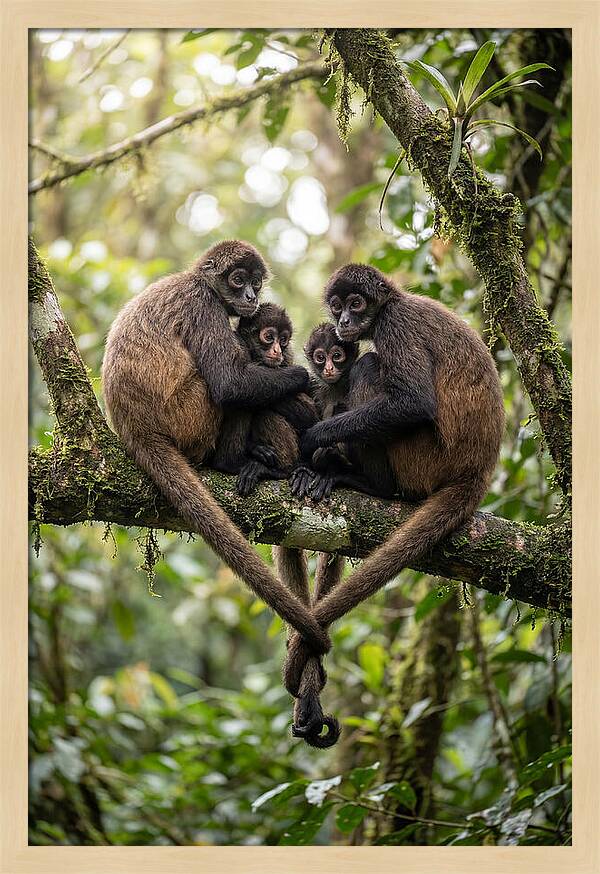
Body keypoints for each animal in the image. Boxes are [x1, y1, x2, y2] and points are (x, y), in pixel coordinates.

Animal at [101, 240, 331, 658]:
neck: (197, 281)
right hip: (190, 415)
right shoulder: (203, 305)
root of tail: (134, 427)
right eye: (238, 280)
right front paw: (302, 376)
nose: (251, 296)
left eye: (256, 282)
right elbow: (229, 383)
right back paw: (233, 462)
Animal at [284, 262, 505, 707]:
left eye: (356, 304)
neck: (394, 302)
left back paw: (367, 482)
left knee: (370, 365)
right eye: (337, 307)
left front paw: (314, 441)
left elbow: (413, 402)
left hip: (423, 458)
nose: (344, 322)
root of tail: (478, 470)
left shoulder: (395, 324)